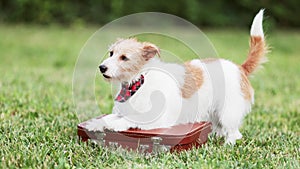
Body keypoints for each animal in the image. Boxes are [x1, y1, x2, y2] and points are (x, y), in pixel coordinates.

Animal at [86, 9, 268, 144]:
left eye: (124, 58)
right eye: (111, 53)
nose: (102, 67)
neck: (138, 82)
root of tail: (239, 68)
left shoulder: (153, 120)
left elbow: (127, 120)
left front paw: (113, 126)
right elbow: (110, 117)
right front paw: (96, 124)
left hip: (228, 112)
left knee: (234, 133)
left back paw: (228, 144)